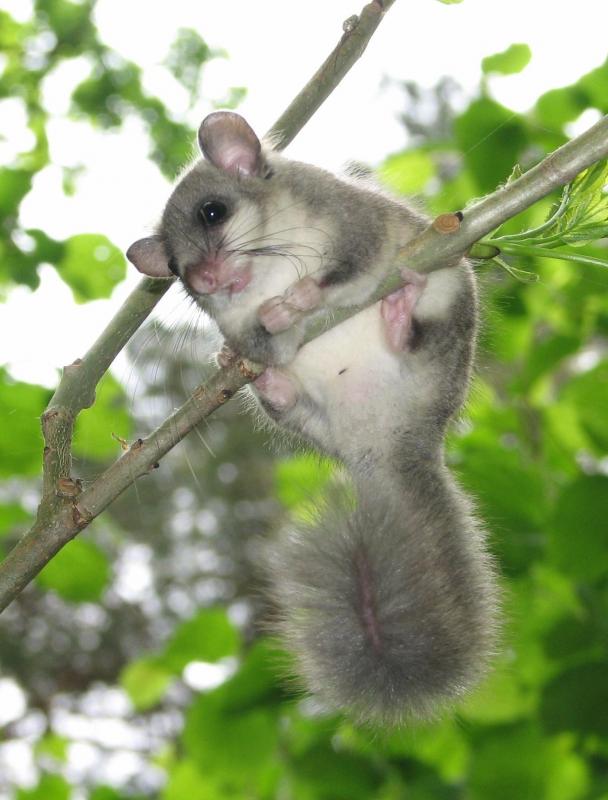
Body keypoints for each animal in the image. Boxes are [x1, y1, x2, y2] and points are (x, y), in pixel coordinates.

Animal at [128, 111, 499, 726]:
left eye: (213, 211)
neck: (267, 272)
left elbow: (343, 270)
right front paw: (247, 343)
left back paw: (401, 313)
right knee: (285, 396)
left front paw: (298, 299)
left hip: (447, 305)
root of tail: (390, 442)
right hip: (309, 417)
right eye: (176, 271)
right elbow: (261, 342)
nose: (203, 282)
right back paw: (273, 385)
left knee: (416, 326)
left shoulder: (353, 226)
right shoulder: (246, 330)